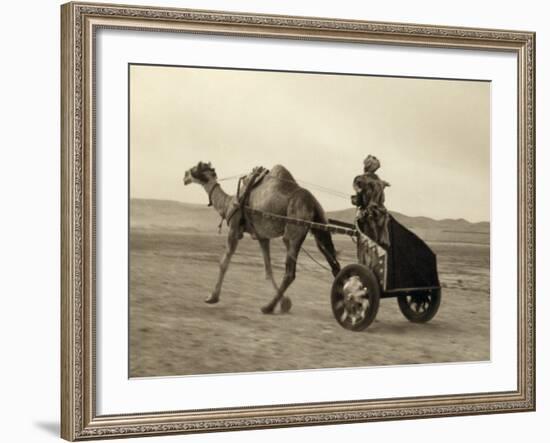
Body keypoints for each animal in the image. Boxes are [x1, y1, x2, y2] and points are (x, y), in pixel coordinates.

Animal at [183, 161, 342, 314]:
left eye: (195, 168)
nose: (184, 176)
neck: (228, 204)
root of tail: (313, 203)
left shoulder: (234, 228)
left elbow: (224, 263)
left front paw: (212, 297)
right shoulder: (262, 237)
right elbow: (268, 270)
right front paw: (285, 303)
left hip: (294, 230)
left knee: (290, 272)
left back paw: (268, 307)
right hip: (320, 227)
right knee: (335, 265)